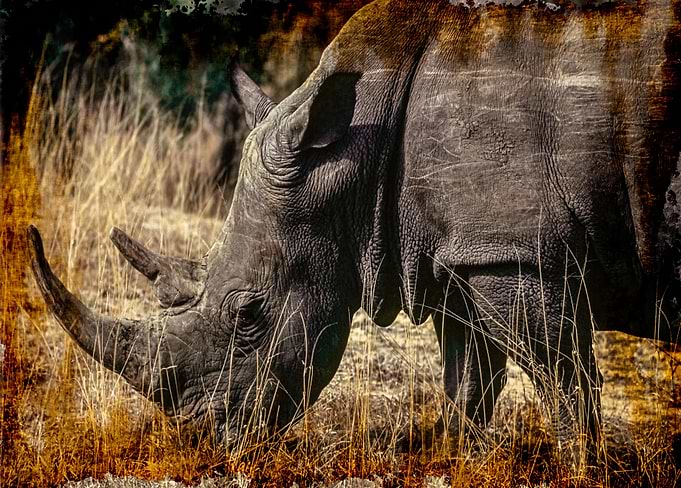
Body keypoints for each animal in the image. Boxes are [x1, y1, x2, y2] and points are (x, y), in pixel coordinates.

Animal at [29, 0, 681, 458]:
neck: (348, 161)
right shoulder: (461, 253)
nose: (204, 434)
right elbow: (469, 380)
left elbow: (564, 384)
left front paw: (582, 467)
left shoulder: (516, 253)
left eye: (248, 314)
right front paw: (457, 459)